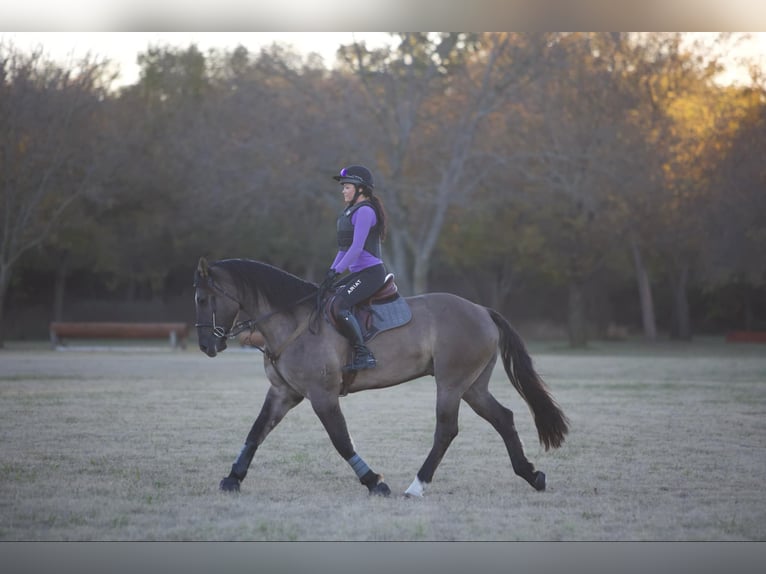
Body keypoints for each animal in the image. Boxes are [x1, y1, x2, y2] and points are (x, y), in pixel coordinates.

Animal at [194, 258, 568, 498]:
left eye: (203, 298)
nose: (206, 346)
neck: (292, 322)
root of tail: (482, 311)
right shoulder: (282, 393)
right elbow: (256, 432)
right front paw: (232, 479)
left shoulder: (322, 396)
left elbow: (342, 441)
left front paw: (375, 482)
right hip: (472, 386)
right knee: (503, 417)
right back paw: (532, 476)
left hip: (450, 384)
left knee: (447, 430)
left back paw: (417, 486)